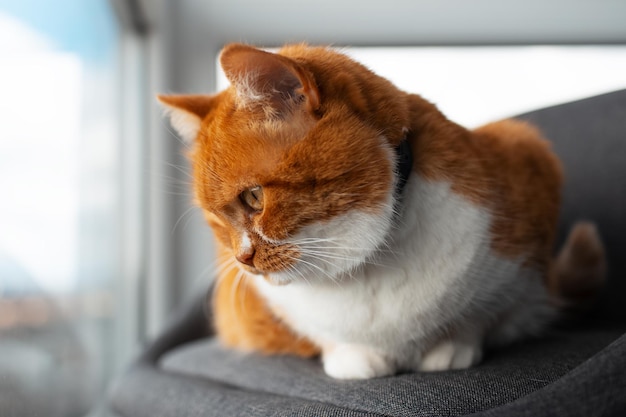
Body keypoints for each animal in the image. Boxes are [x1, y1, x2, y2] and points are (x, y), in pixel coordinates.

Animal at [158, 44, 604, 378]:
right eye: (216, 220)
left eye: (253, 198)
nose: (242, 260)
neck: (366, 262)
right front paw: (355, 359)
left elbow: (480, 317)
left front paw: (453, 346)